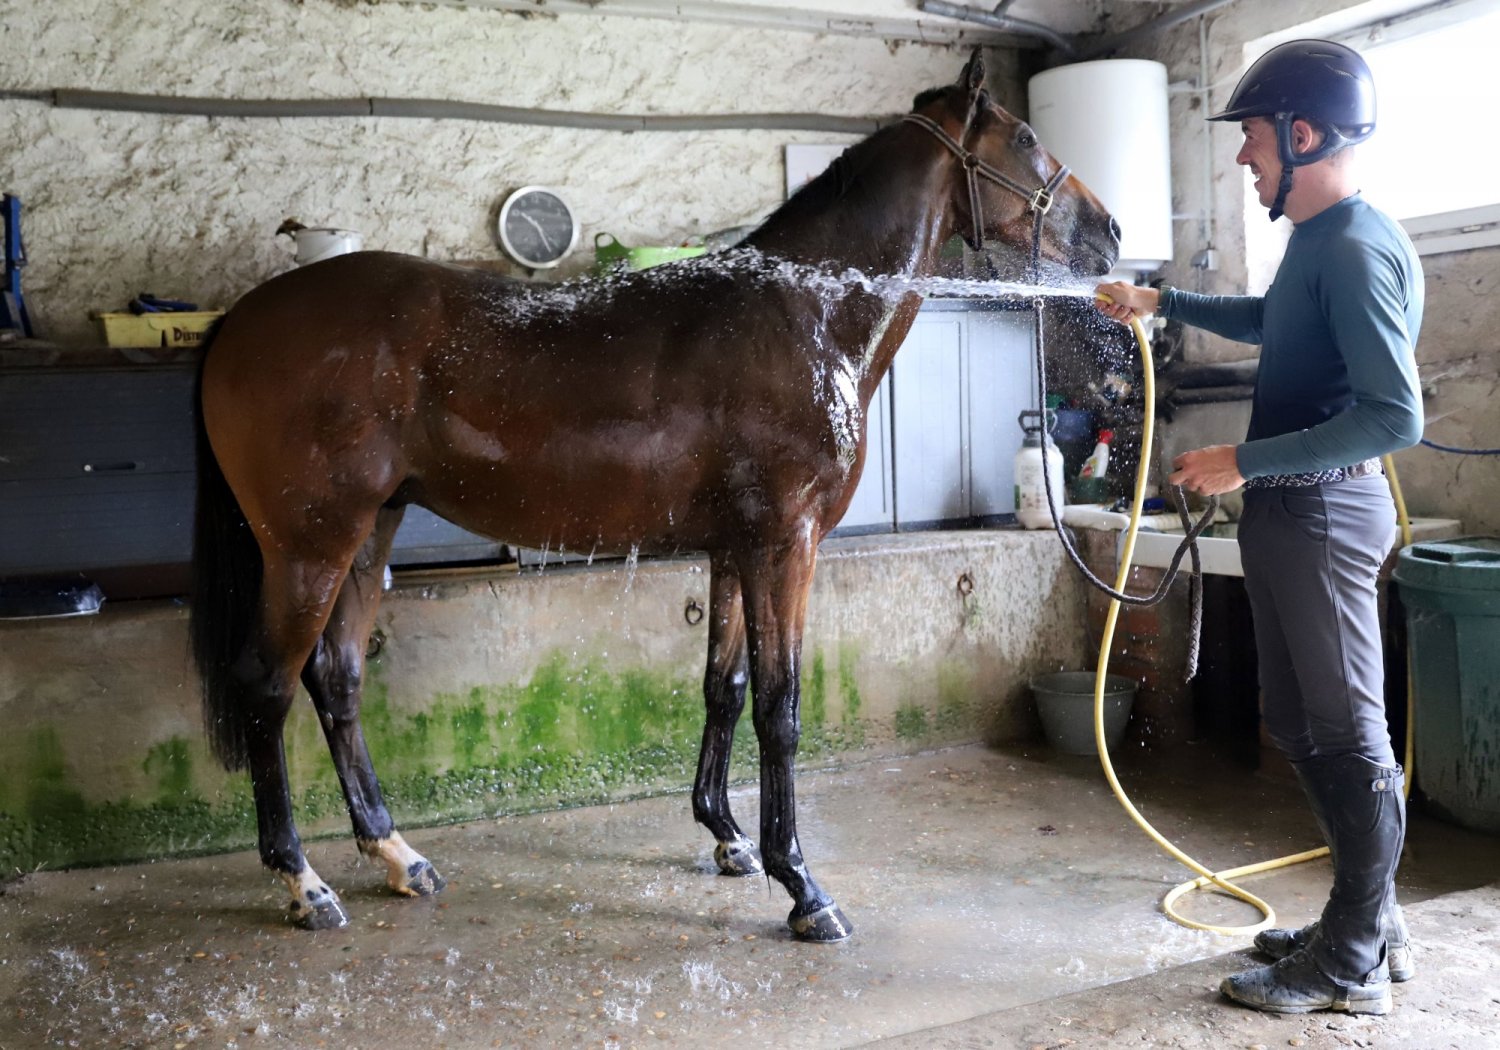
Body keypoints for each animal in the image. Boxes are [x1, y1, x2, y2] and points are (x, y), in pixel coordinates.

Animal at [190, 49, 1119, 942]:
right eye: (1025, 138)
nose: (1111, 232)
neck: (807, 313)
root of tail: (241, 318)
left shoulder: (734, 549)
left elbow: (725, 687)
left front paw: (728, 838)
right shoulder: (786, 544)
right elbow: (779, 709)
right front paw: (802, 888)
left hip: (368, 534)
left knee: (337, 681)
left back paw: (397, 856)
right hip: (311, 545)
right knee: (268, 688)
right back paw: (303, 884)